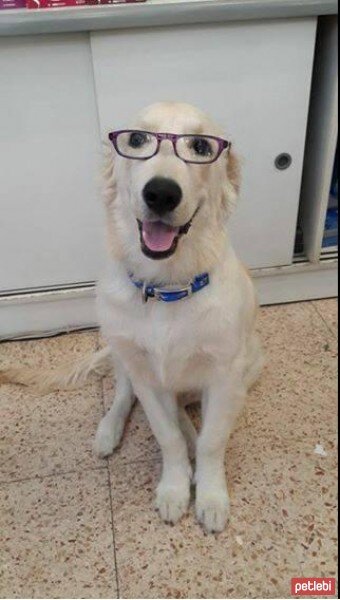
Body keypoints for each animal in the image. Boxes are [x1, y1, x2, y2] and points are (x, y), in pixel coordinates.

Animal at [0, 101, 262, 532]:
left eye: (201, 147)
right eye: (137, 139)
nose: (161, 193)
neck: (167, 287)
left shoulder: (225, 375)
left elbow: (212, 441)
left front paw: (209, 495)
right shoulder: (146, 376)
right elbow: (167, 436)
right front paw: (174, 489)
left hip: (251, 365)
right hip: (124, 356)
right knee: (126, 397)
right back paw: (109, 432)